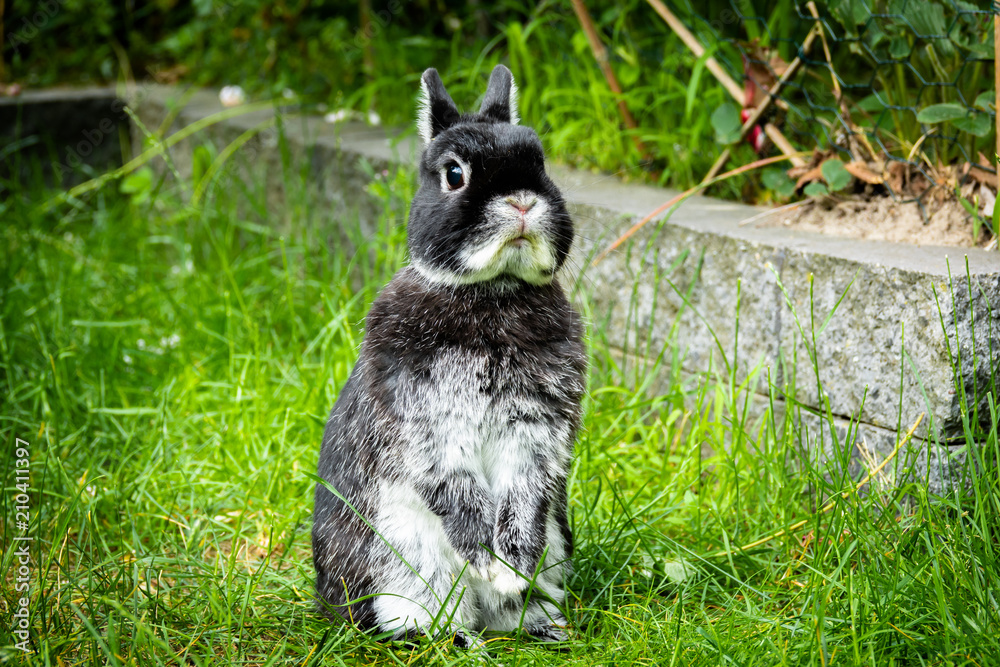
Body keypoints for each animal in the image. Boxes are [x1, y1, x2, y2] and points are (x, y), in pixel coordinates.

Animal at [312, 64, 586, 646]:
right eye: (454, 173)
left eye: (540, 162)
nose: (523, 202)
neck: (491, 293)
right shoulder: (430, 427)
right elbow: (458, 493)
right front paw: (488, 564)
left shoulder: (535, 433)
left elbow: (524, 499)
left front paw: (510, 569)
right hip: (403, 563)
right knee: (427, 614)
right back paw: (462, 639)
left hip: (555, 542)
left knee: (510, 607)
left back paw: (540, 624)